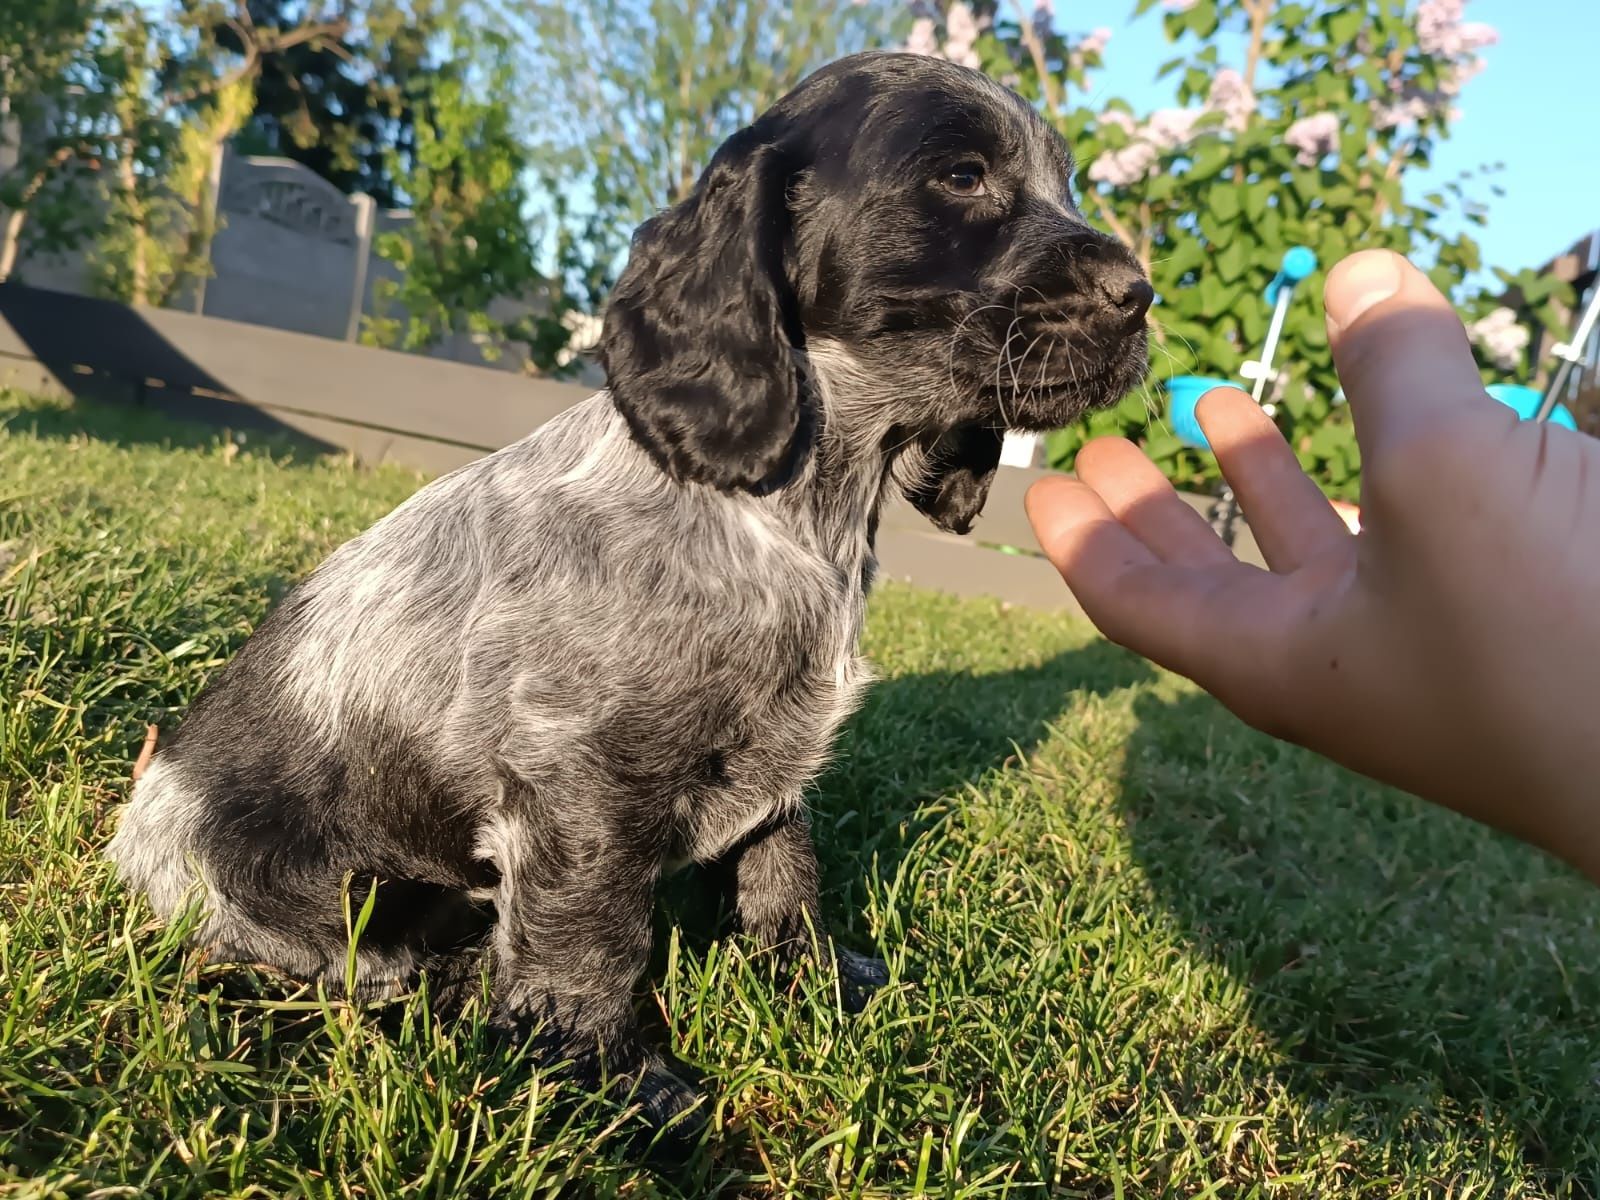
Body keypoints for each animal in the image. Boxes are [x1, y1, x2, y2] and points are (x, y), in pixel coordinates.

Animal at [109, 49, 1152, 1139]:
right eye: (960, 176)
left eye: (1065, 183)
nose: (1143, 295)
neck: (794, 515)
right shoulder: (582, 784)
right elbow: (592, 938)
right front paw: (611, 1084)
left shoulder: (777, 756)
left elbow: (785, 876)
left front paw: (816, 982)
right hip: (331, 902)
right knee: (353, 968)